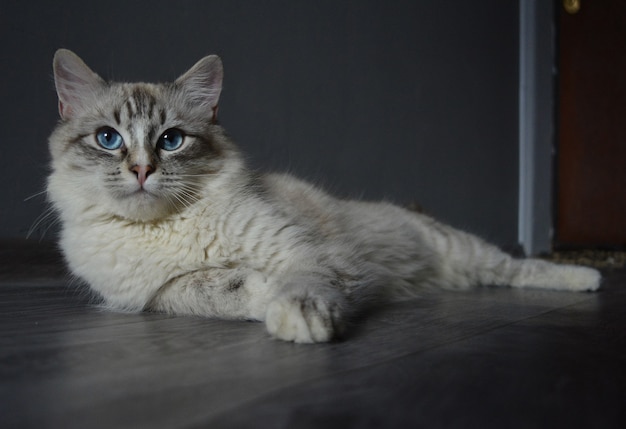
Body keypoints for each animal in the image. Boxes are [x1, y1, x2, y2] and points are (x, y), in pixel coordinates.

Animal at [45, 48, 600, 342]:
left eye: (171, 140)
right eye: (108, 139)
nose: (141, 170)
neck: (163, 227)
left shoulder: (309, 253)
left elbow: (302, 284)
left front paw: (299, 319)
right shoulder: (152, 297)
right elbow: (214, 288)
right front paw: (261, 295)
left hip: (463, 251)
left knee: (520, 268)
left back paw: (589, 277)